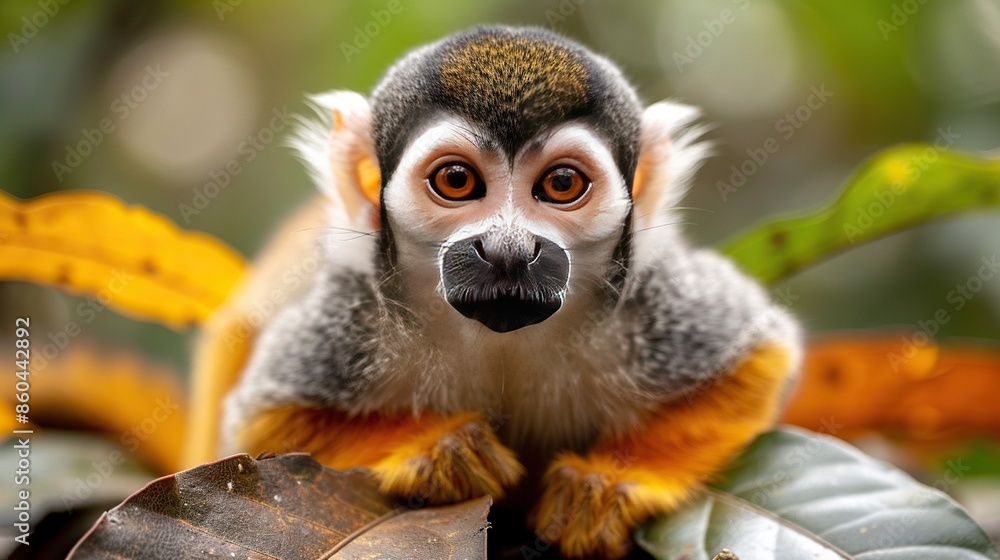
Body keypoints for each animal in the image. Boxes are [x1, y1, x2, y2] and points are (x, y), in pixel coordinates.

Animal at [192, 26, 801, 558]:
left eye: (562, 185)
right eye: (456, 180)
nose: (508, 250)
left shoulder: (646, 303)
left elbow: (758, 357)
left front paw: (606, 483)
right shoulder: (355, 318)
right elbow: (264, 420)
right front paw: (438, 449)